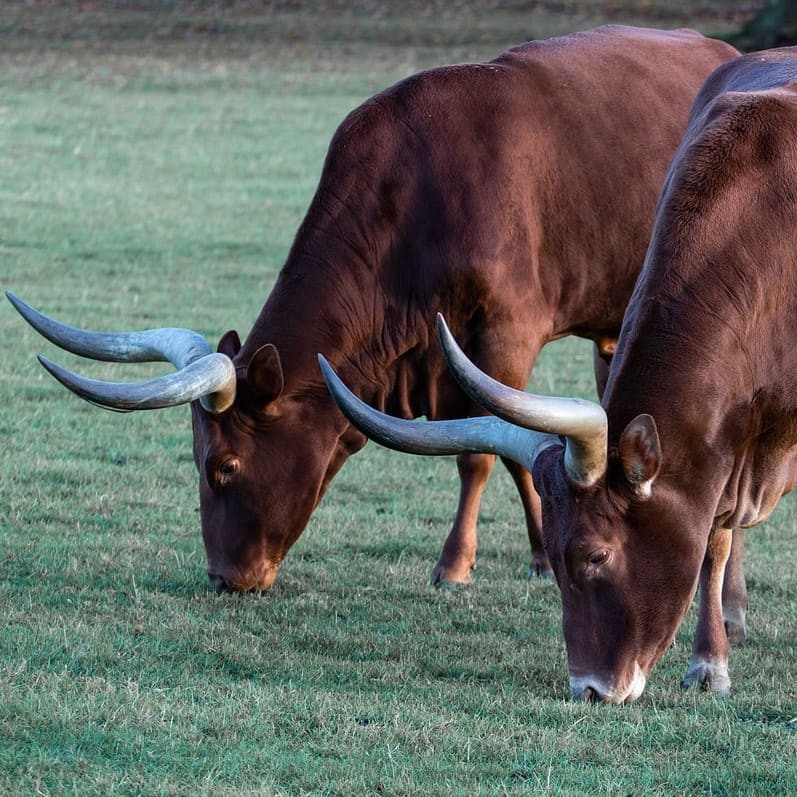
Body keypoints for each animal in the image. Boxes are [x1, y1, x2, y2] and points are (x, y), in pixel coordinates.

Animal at [320, 46, 796, 700]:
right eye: (556, 553)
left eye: (596, 556)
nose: (588, 689)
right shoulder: (722, 440)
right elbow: (714, 537)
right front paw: (711, 661)